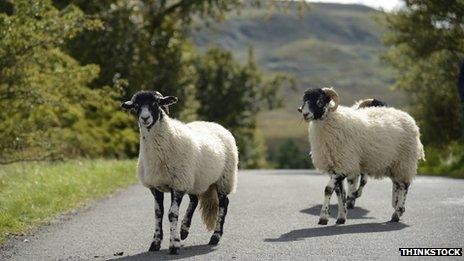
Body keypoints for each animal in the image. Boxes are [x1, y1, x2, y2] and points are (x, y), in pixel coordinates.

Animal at [122, 90, 239, 254]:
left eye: (156, 103)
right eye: (136, 106)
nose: (145, 118)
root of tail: (215, 124)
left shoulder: (177, 184)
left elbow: (172, 214)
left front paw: (174, 245)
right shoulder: (156, 186)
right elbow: (158, 213)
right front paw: (155, 243)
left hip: (224, 179)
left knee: (224, 204)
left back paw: (215, 237)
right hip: (194, 180)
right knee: (194, 200)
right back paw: (184, 230)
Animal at [298, 87, 424, 223]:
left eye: (320, 100)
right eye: (304, 100)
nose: (305, 114)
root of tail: (408, 117)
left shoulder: (345, 164)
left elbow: (328, 189)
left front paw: (324, 217)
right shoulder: (335, 167)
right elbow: (340, 193)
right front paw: (341, 217)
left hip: (405, 161)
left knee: (405, 185)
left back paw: (397, 212)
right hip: (394, 164)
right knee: (397, 184)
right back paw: (396, 208)